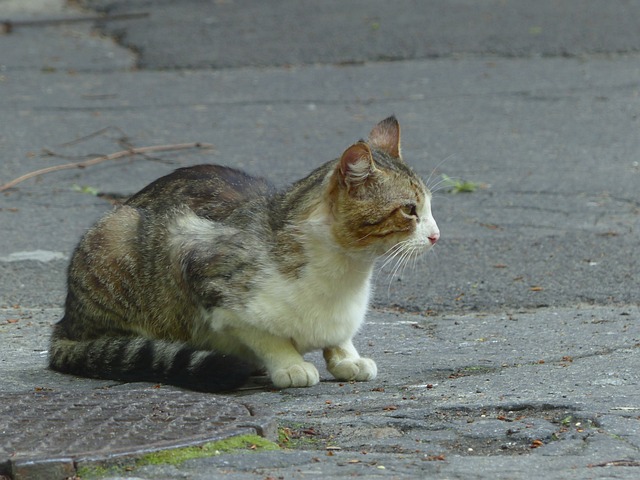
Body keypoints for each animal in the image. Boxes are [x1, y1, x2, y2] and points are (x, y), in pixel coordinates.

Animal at [48, 116, 440, 390]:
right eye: (409, 210)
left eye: (430, 206)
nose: (436, 235)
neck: (346, 274)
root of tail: (65, 322)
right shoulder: (203, 274)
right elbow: (264, 335)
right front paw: (289, 364)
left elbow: (339, 337)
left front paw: (346, 357)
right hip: (117, 235)